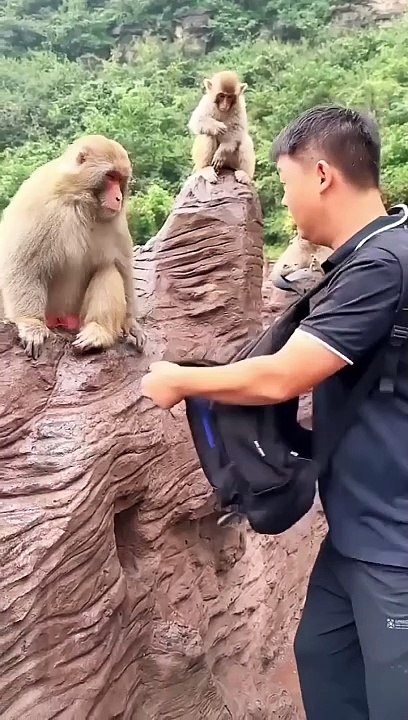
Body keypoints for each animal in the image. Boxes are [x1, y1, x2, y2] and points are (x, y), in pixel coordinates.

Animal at [0, 134, 146, 359]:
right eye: (110, 176)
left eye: (120, 179)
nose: (118, 198)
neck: (79, 199)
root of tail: (64, 320)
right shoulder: (37, 201)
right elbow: (23, 265)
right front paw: (31, 324)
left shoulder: (116, 221)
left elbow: (123, 268)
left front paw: (131, 324)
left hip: (78, 316)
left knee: (109, 269)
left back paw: (98, 332)